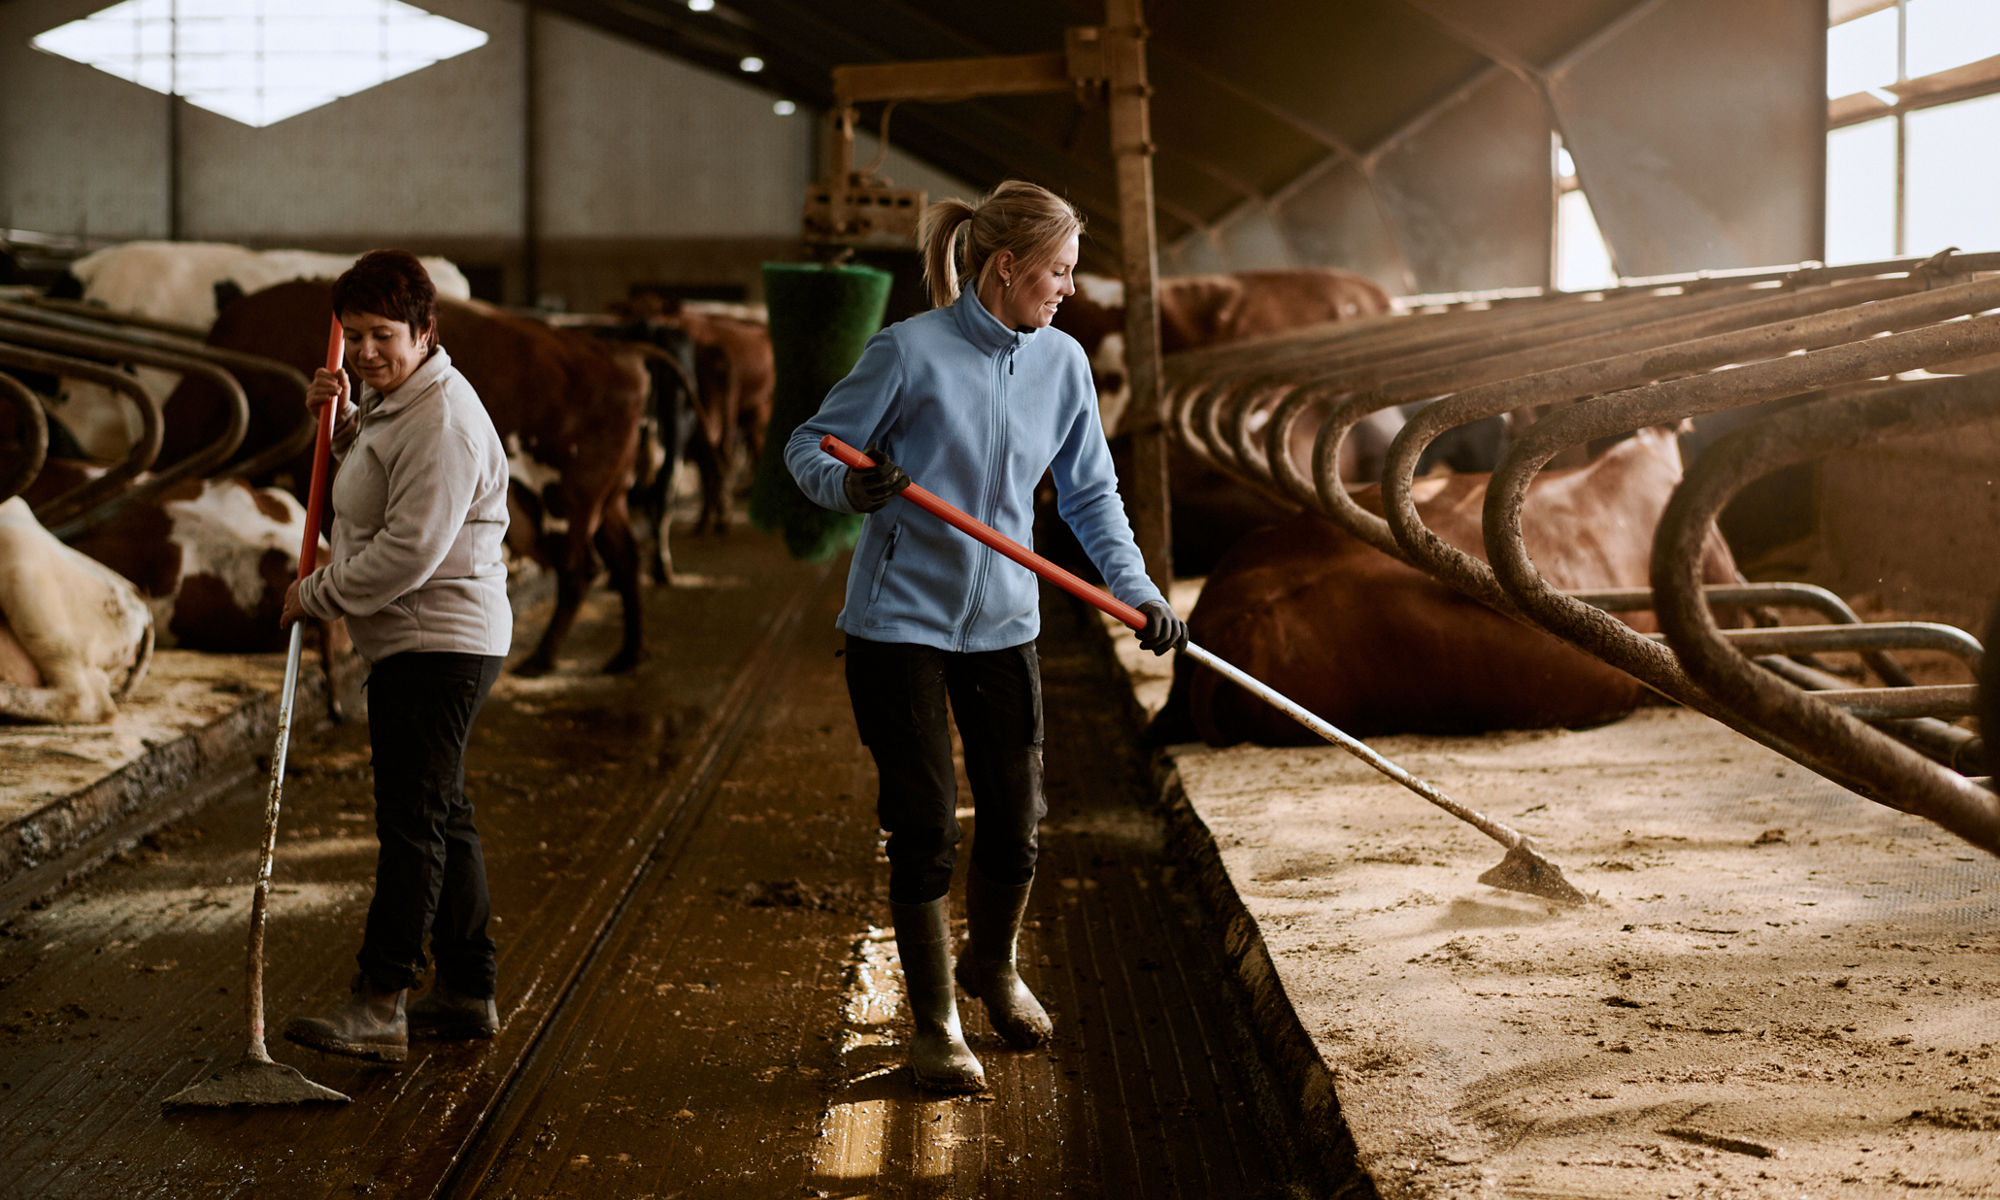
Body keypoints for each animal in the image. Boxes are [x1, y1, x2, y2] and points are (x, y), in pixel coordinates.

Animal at [169, 282, 648, 676]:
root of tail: (622, 357)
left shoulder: (311, 471)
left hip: (572, 504)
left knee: (580, 570)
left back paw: (541, 659)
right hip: (612, 500)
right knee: (625, 557)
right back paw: (625, 656)